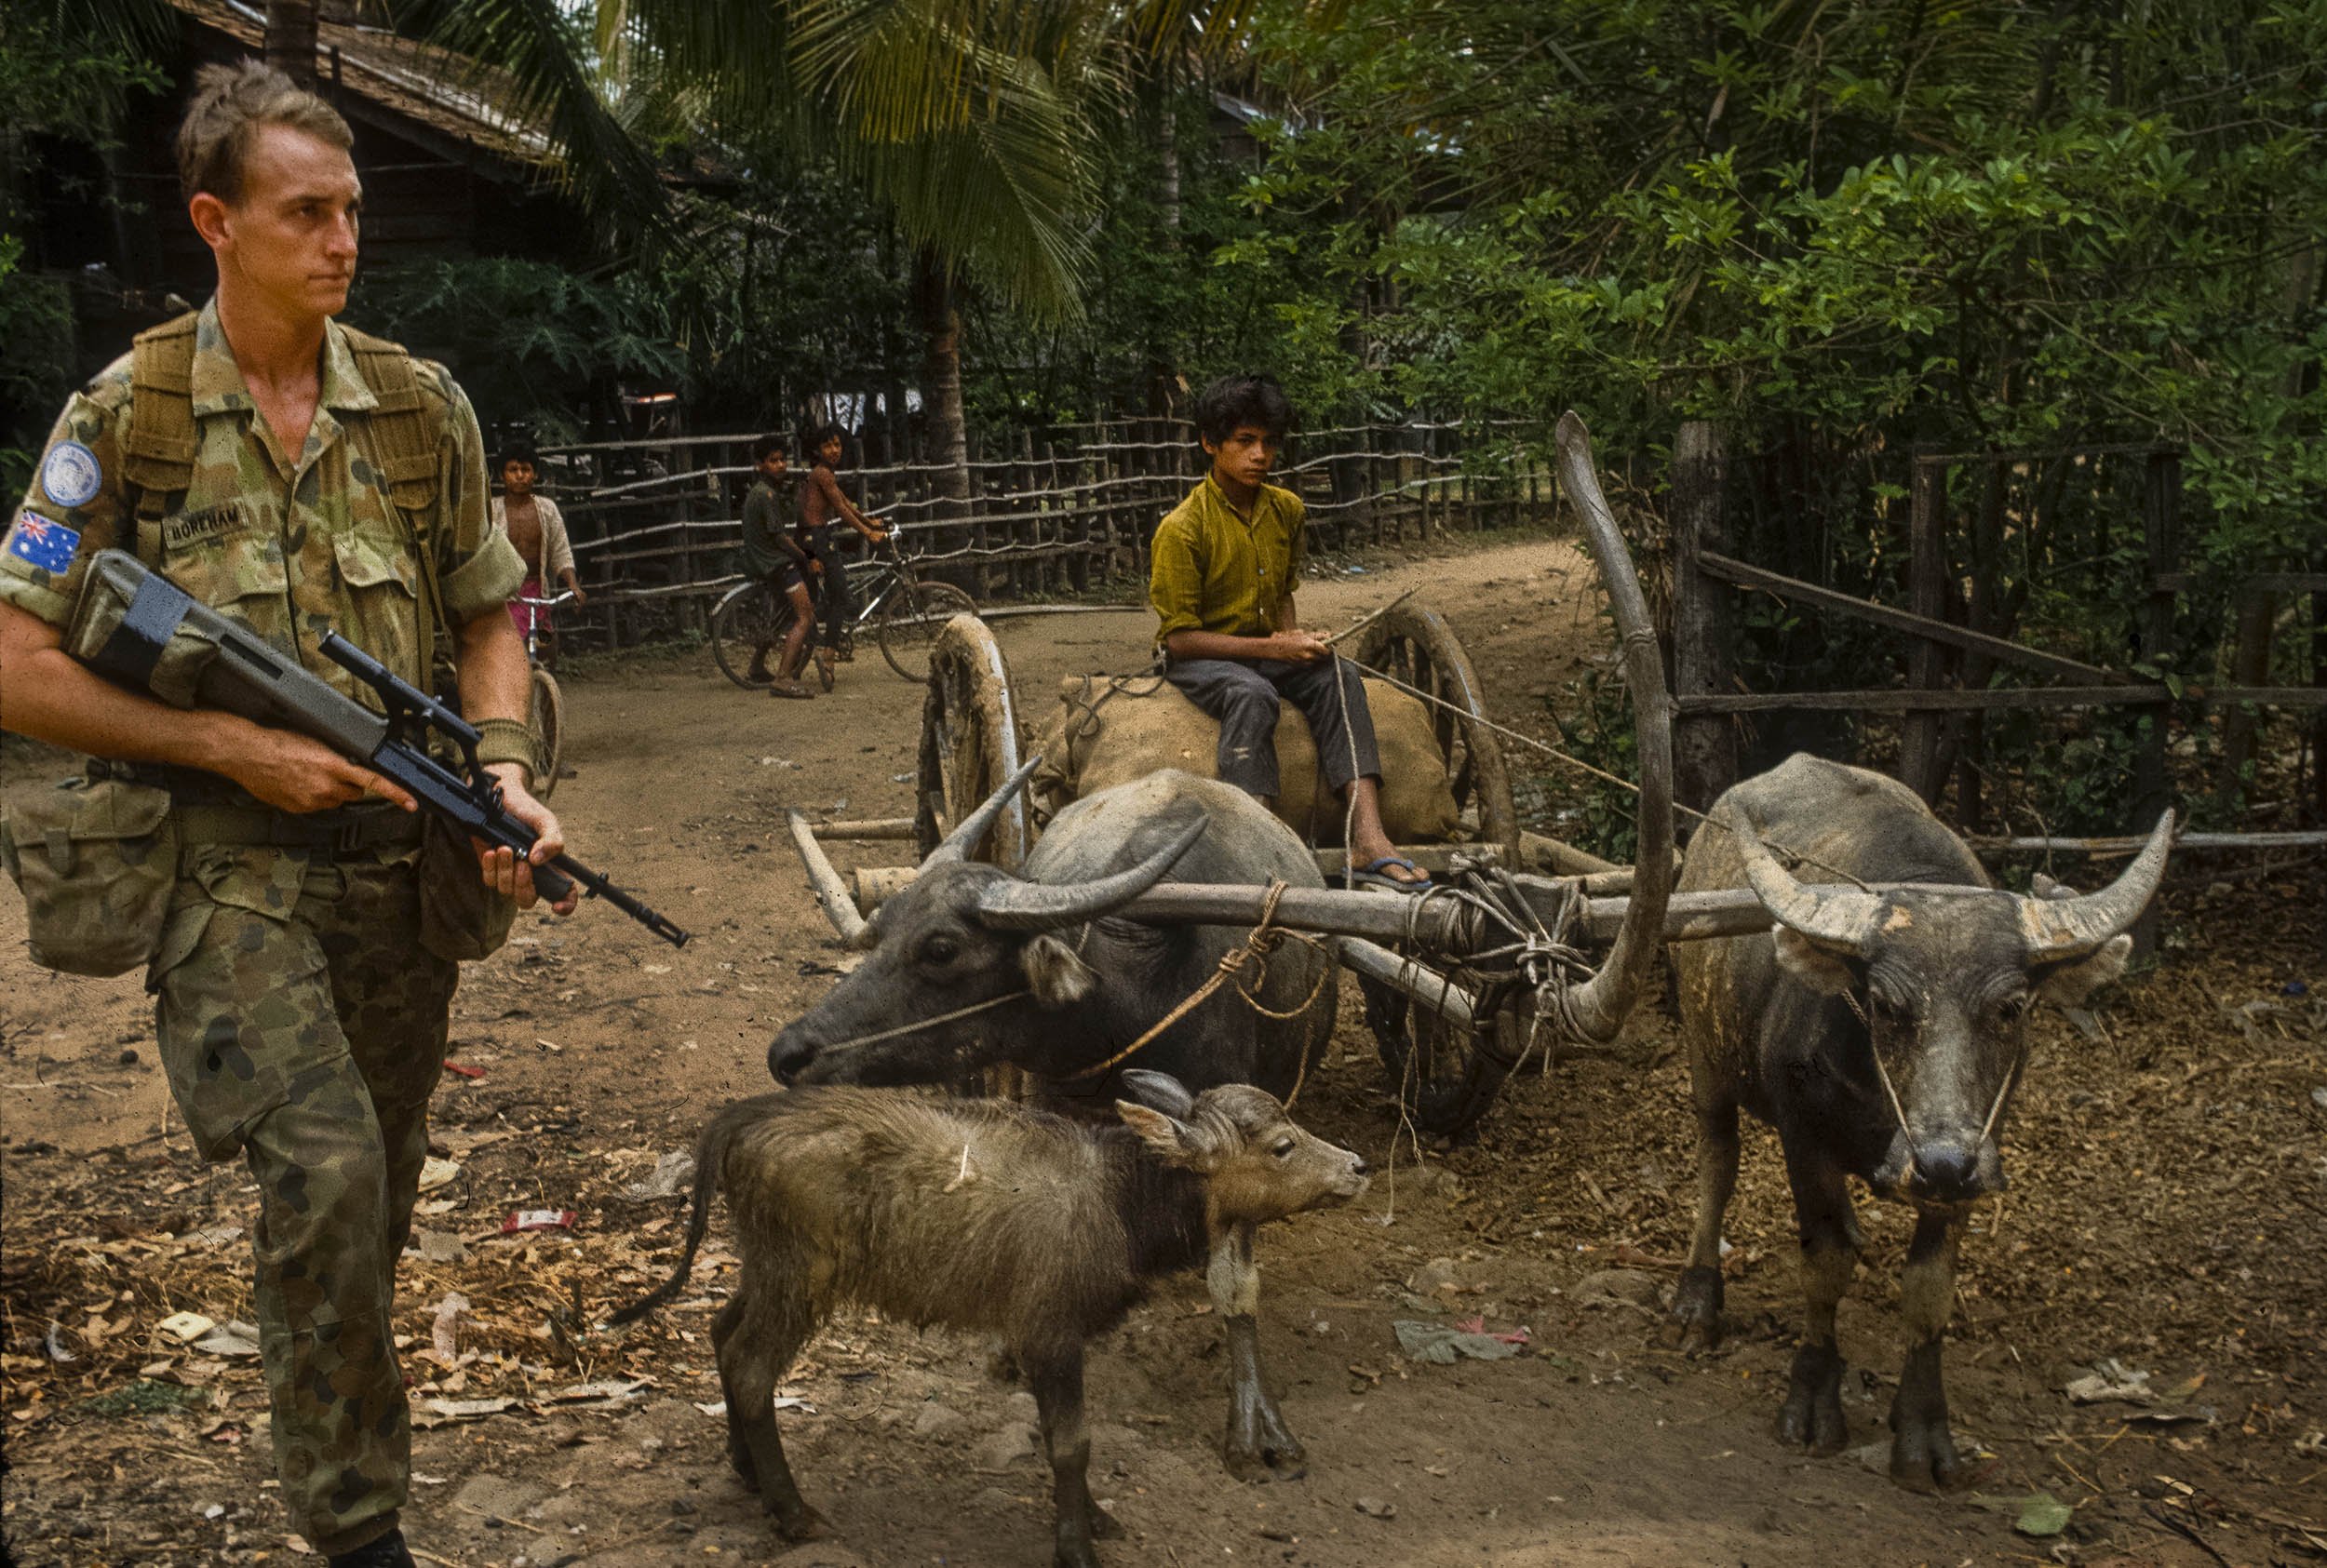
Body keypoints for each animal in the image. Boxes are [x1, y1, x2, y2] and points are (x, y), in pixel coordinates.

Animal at [1666, 749, 2169, 1480]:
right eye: (1883, 1004)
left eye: (2011, 1008)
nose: (1939, 1162)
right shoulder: (1803, 1136)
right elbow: (1823, 1266)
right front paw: (1813, 1398)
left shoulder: (1974, 1153)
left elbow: (1930, 1289)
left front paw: (1924, 1431)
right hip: (1706, 1054)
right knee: (1717, 1162)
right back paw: (1697, 1299)